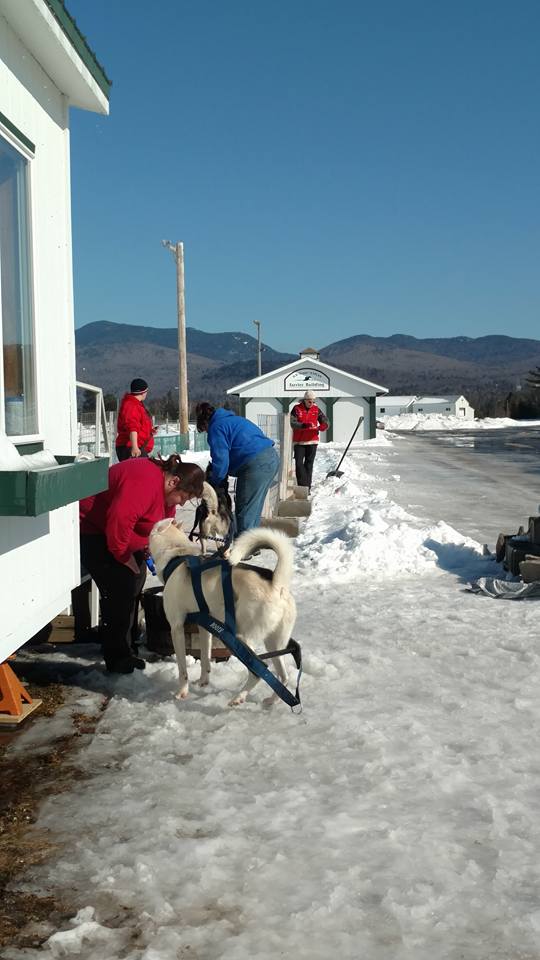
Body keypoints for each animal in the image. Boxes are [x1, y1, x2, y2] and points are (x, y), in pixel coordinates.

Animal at [150, 516, 298, 704]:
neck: (177, 555)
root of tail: (277, 583)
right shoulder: (204, 627)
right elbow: (205, 659)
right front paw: (203, 682)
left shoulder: (176, 628)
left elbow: (182, 669)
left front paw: (181, 692)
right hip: (273, 642)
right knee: (282, 676)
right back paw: (271, 701)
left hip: (237, 637)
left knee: (259, 671)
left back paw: (238, 698)